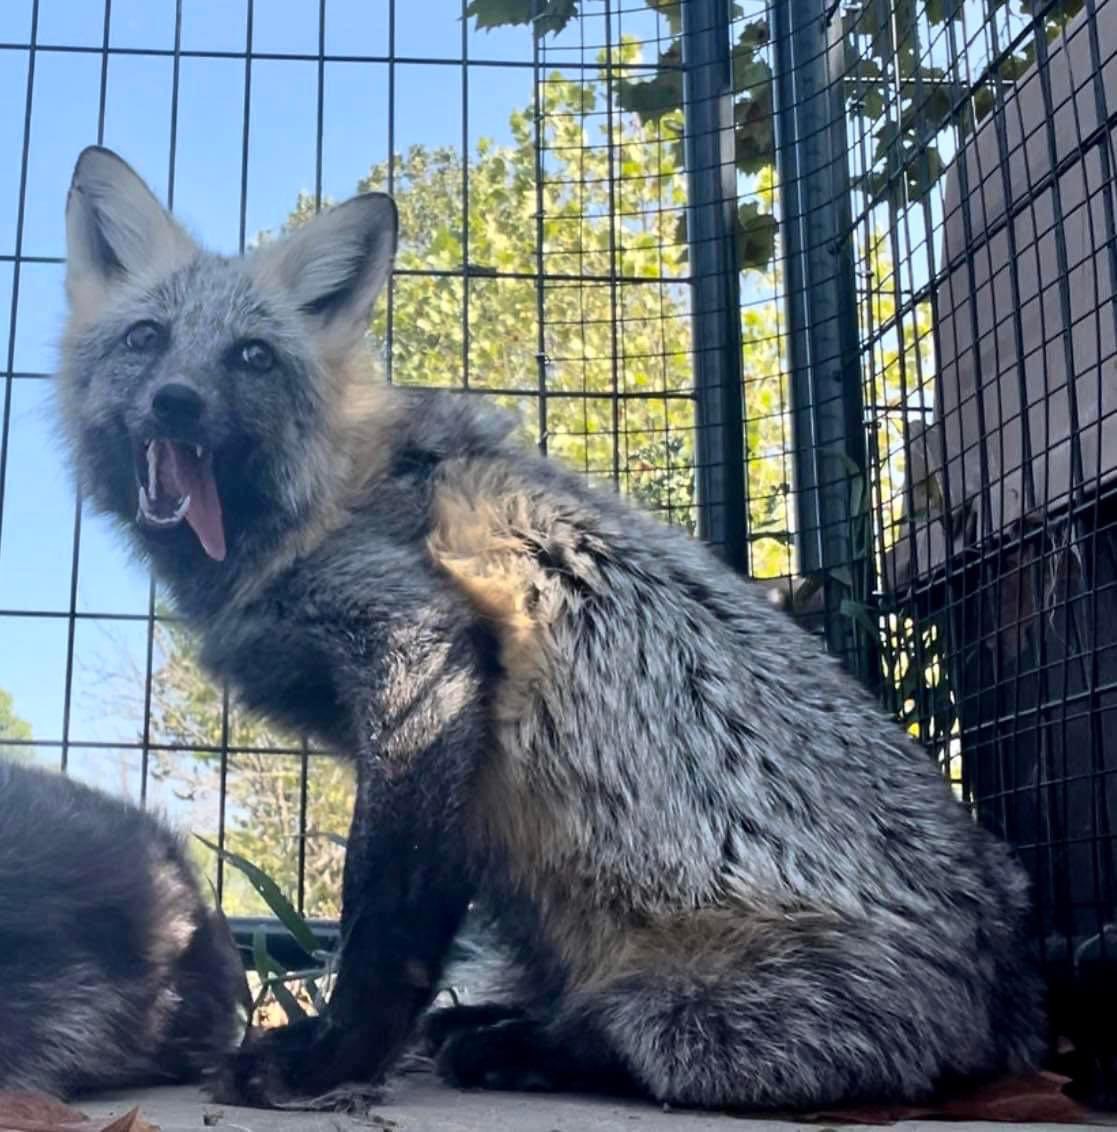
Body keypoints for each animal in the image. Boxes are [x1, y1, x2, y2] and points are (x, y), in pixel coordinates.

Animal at [54, 144, 1046, 1112]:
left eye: (251, 355)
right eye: (147, 339)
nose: (177, 402)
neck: (326, 500)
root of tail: (1009, 979)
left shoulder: (420, 654)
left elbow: (384, 920)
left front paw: (329, 1060)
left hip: (702, 1019)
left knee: (653, 1045)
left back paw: (520, 1046)